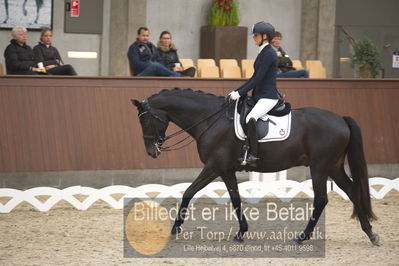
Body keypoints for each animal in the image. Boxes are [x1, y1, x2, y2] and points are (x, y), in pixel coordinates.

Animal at [132, 89, 382, 245]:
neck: (210, 119)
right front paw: (241, 232)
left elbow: (189, 192)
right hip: (333, 167)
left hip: (320, 167)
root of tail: (340, 118)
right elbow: (235, 198)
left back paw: (302, 237)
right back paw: (370, 233)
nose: (152, 151)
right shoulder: (226, 170)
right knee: (353, 191)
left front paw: (175, 229)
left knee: (321, 199)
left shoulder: (215, 167)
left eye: (144, 119)